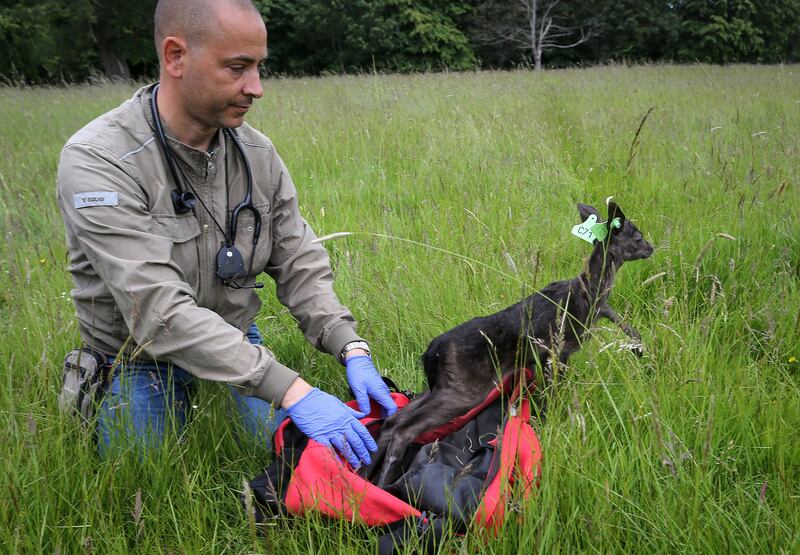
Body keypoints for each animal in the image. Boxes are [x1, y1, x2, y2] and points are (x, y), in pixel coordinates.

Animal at [365, 200, 654, 488]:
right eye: (638, 237)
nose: (651, 248)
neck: (589, 292)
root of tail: (431, 354)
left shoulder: (560, 353)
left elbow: (627, 327)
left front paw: (639, 349)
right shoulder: (554, 353)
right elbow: (552, 397)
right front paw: (549, 425)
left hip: (440, 386)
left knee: (393, 419)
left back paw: (368, 473)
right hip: (464, 390)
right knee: (405, 427)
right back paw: (382, 481)